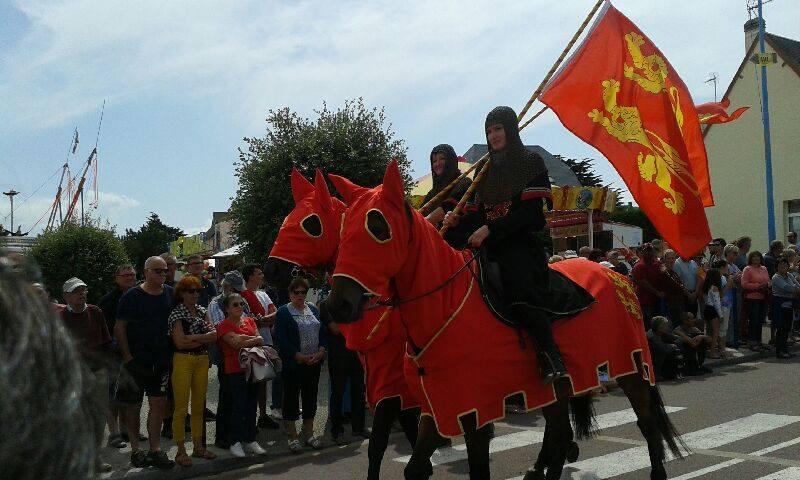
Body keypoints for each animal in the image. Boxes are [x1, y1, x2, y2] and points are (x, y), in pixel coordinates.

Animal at [322, 162, 684, 480]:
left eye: (378, 227)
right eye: (342, 230)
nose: (337, 305)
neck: (444, 304)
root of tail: (618, 277)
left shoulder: (476, 412)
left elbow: (478, 470)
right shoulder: (437, 407)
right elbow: (414, 467)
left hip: (631, 366)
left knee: (646, 422)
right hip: (558, 386)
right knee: (559, 435)